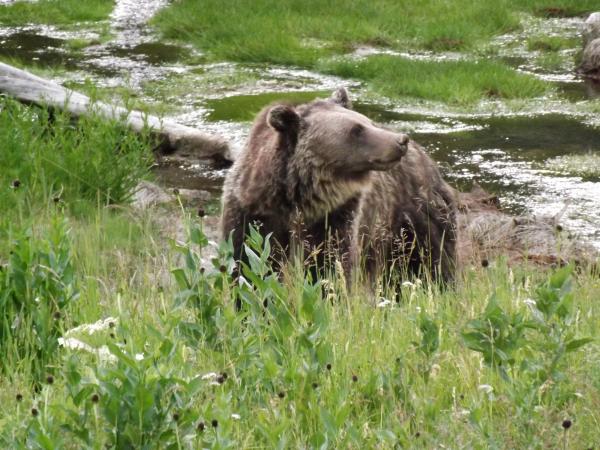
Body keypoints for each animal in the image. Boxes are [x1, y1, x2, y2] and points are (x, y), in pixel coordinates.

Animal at [221, 89, 460, 282]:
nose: (401, 140)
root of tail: (427, 158)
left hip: (412, 217)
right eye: (357, 130)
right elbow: (247, 261)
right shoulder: (251, 213)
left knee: (432, 259)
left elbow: (329, 266)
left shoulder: (335, 218)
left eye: (367, 121)